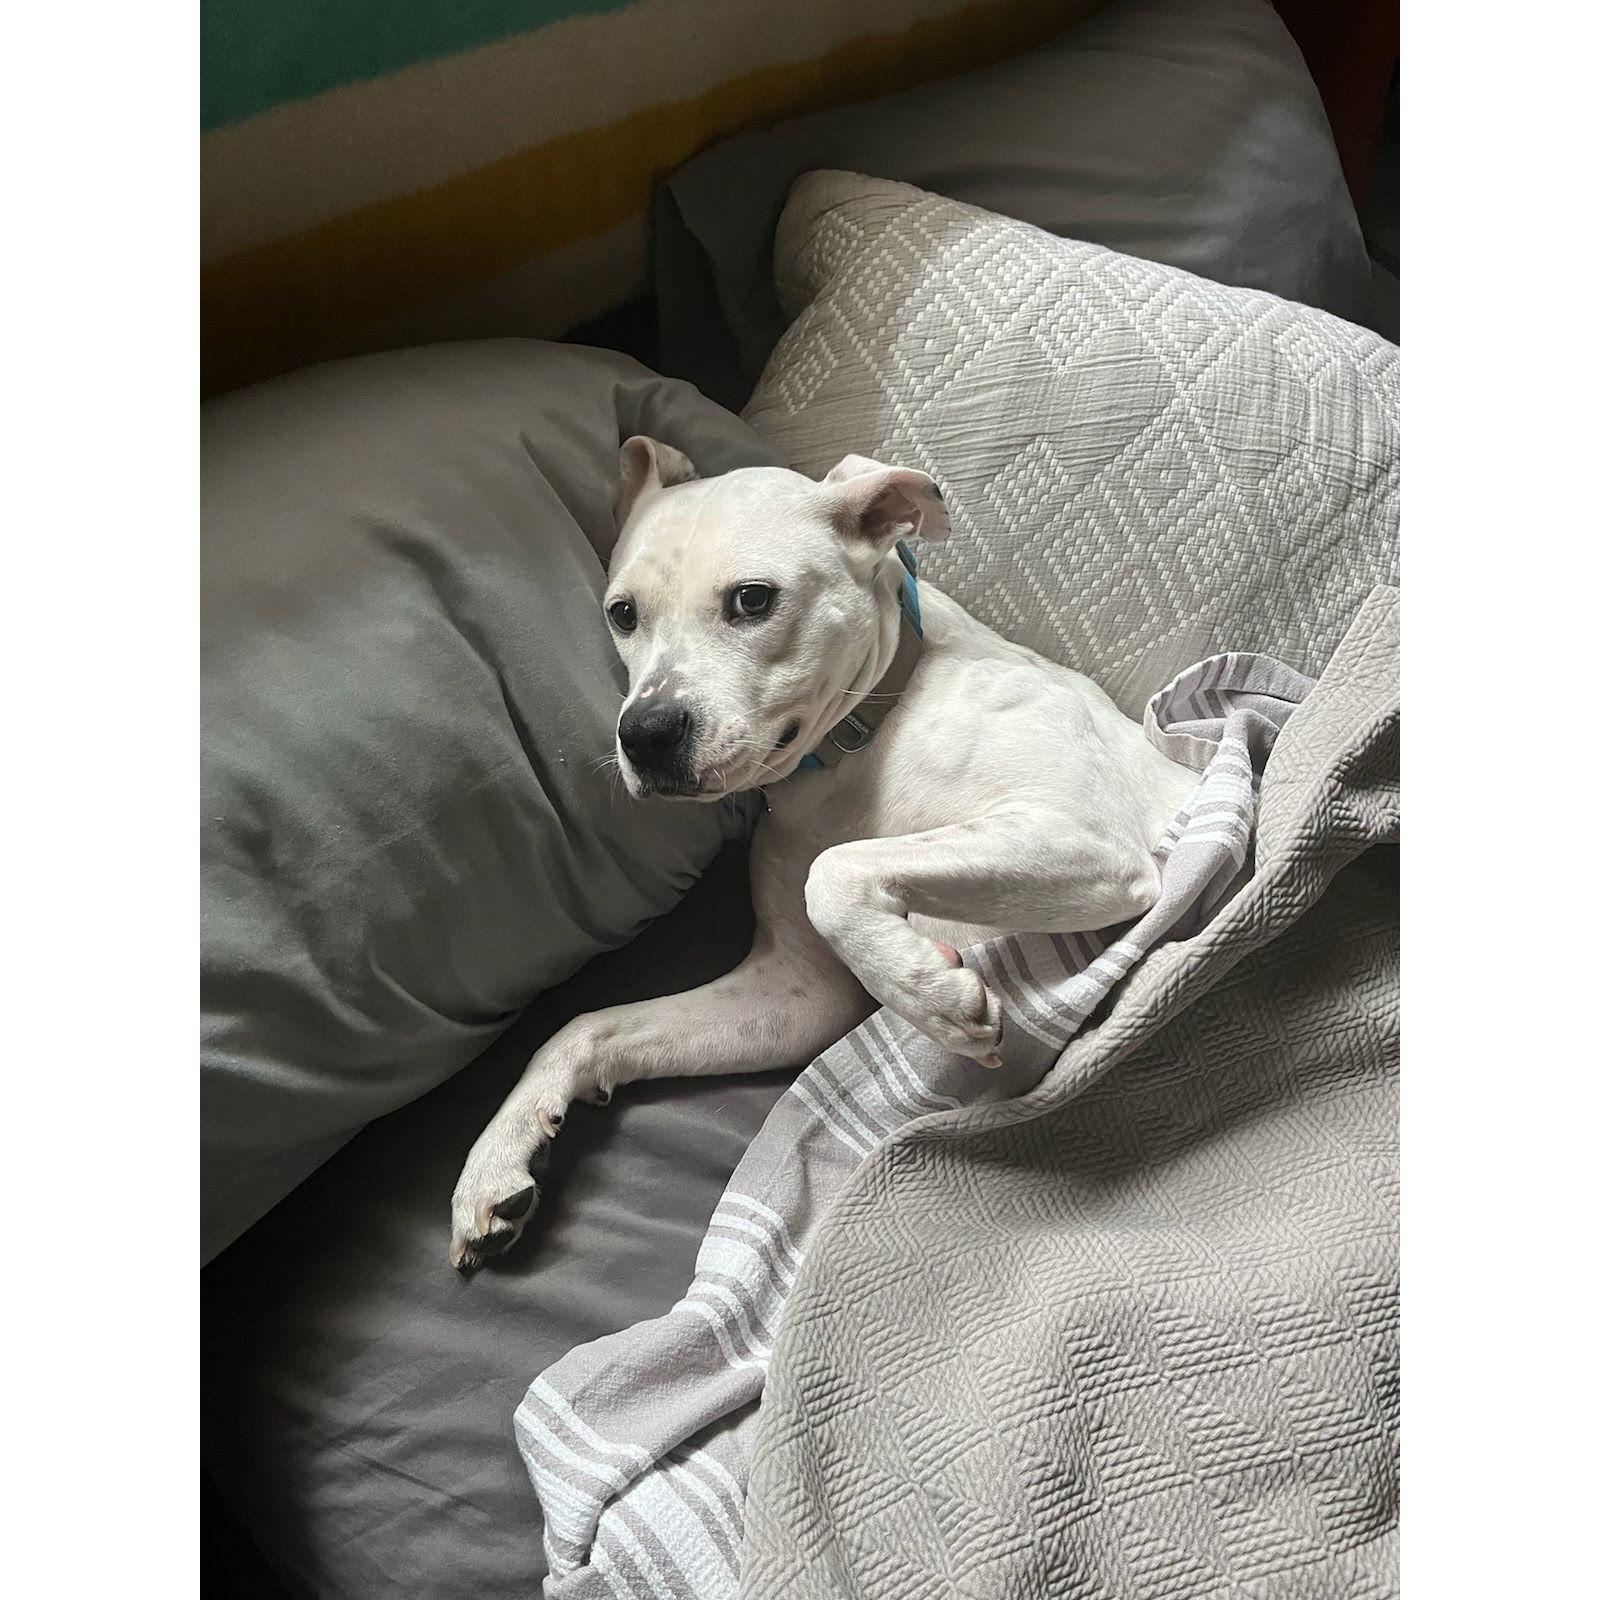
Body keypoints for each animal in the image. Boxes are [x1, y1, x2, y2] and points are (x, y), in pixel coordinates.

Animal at [450, 439, 1196, 1268]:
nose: (644, 734)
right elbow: (588, 1027)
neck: (859, 746)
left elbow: (834, 870)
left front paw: (929, 996)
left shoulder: (1087, 843)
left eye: (752, 600)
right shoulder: (795, 993)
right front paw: (499, 1154)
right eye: (622, 613)